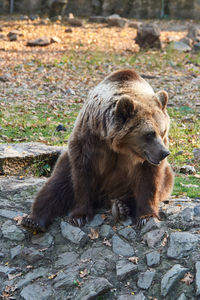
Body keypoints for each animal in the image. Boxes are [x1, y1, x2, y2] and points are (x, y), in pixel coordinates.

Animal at [21, 68, 174, 232]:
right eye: (149, 134)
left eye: (162, 131)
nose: (164, 153)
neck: (119, 146)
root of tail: (104, 198)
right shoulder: (90, 139)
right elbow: (83, 175)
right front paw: (80, 216)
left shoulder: (145, 158)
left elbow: (150, 180)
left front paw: (146, 217)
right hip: (66, 162)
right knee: (56, 185)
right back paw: (33, 220)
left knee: (165, 181)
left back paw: (120, 207)